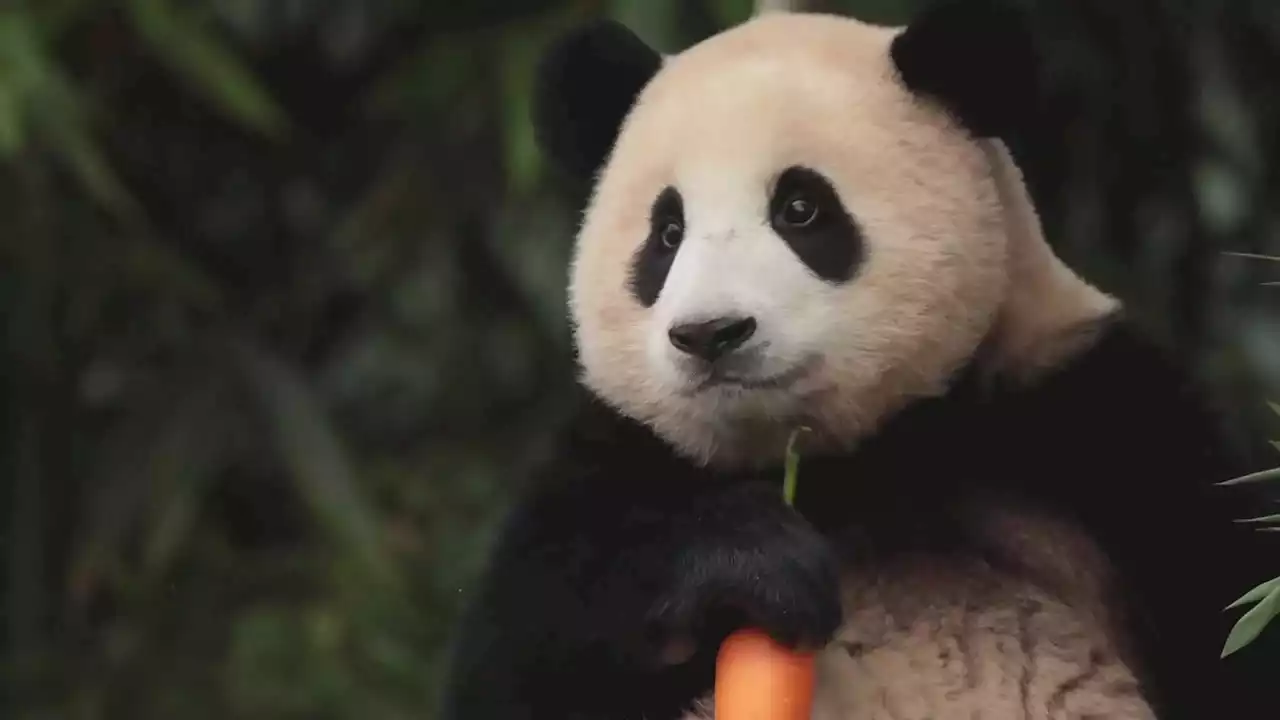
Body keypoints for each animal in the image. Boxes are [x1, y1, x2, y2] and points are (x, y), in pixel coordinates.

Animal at [440, 1, 1280, 717]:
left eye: (800, 208)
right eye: (667, 233)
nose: (711, 333)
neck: (852, 463)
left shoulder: (1095, 428)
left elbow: (1230, 611)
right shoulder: (619, 455)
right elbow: (521, 652)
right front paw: (751, 562)